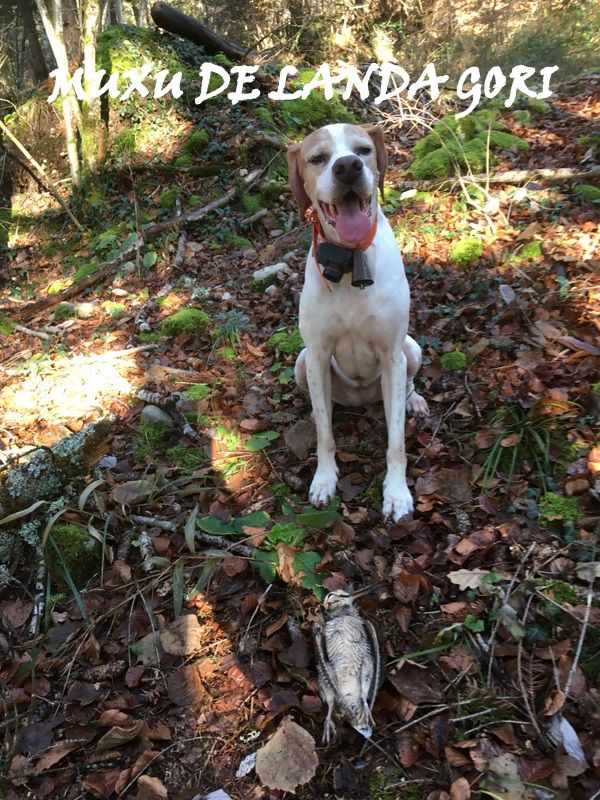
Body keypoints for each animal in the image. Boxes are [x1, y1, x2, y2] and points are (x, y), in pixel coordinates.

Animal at [288, 123, 428, 524]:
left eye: (363, 150)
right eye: (317, 158)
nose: (348, 167)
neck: (350, 262)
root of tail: (364, 395)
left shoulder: (393, 354)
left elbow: (396, 444)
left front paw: (397, 494)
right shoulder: (317, 354)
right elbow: (325, 436)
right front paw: (324, 481)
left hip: (411, 349)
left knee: (407, 384)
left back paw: (414, 401)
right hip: (301, 363)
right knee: (322, 403)